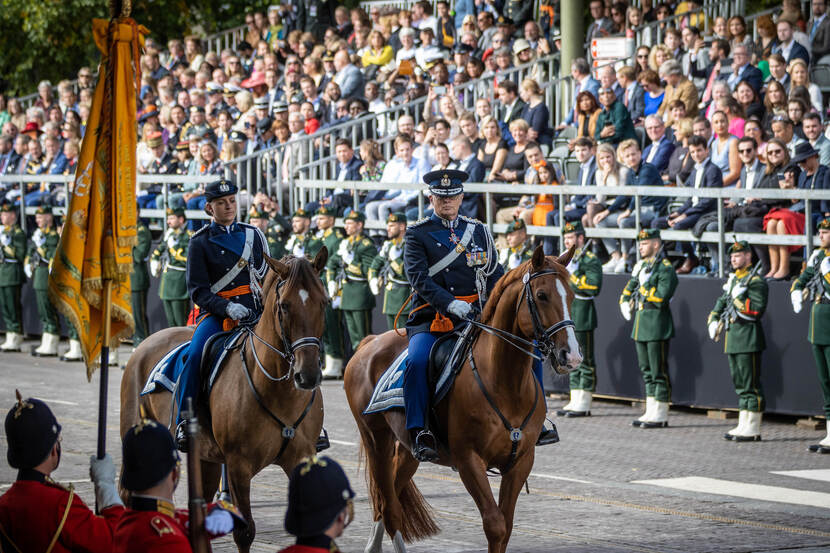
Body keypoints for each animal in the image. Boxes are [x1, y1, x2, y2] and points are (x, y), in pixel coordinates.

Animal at [122, 250, 330, 552]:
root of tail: (146, 342)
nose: (309, 374)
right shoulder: (237, 466)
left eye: (323, 302)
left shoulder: (301, 457)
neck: (277, 389)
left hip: (205, 457)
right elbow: (245, 532)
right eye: (285, 306)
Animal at [344, 245, 584, 552]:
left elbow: (506, 526)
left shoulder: (521, 461)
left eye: (572, 295)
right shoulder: (469, 460)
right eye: (542, 295)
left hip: (409, 449)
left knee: (388, 500)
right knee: (389, 508)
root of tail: (369, 342)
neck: (504, 383)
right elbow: (495, 525)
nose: (571, 356)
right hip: (376, 440)